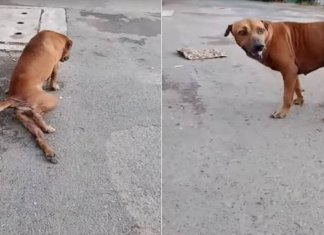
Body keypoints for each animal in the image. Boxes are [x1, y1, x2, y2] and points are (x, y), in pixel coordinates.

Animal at [0, 30, 73, 163]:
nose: (68, 58)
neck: (57, 37)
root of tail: (13, 97)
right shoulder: (55, 65)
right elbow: (54, 76)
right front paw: (54, 85)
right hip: (50, 100)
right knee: (36, 113)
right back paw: (47, 127)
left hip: (24, 117)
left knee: (39, 135)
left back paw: (49, 151)